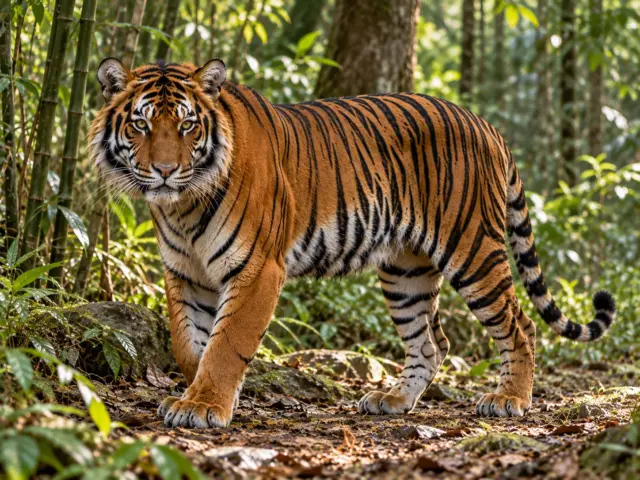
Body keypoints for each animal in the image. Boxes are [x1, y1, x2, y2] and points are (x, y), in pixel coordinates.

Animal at [90, 57, 616, 429]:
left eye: (187, 125)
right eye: (140, 124)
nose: (164, 171)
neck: (183, 205)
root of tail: (486, 125)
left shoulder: (257, 269)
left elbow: (226, 344)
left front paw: (203, 406)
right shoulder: (185, 272)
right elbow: (189, 344)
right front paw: (195, 394)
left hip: (473, 251)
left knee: (520, 325)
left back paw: (509, 400)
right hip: (406, 270)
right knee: (431, 342)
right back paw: (395, 400)